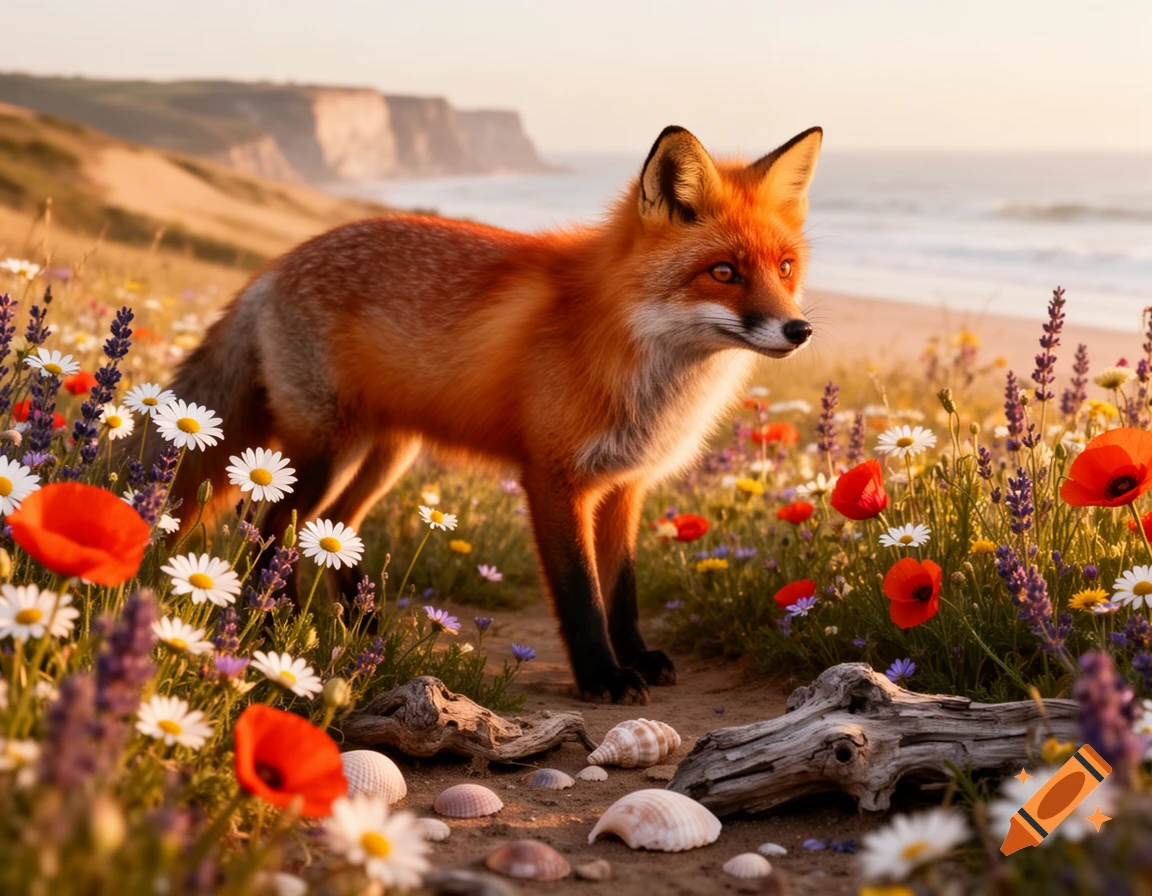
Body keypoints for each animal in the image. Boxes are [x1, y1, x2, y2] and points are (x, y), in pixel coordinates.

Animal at [159, 124, 822, 704]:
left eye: (785, 268)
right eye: (723, 272)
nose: (800, 330)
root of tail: (273, 266)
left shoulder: (625, 484)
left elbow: (623, 589)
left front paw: (635, 656)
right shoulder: (554, 477)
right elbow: (582, 594)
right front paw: (602, 676)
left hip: (383, 457)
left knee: (331, 530)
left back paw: (364, 630)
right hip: (326, 452)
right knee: (267, 528)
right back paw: (279, 629)